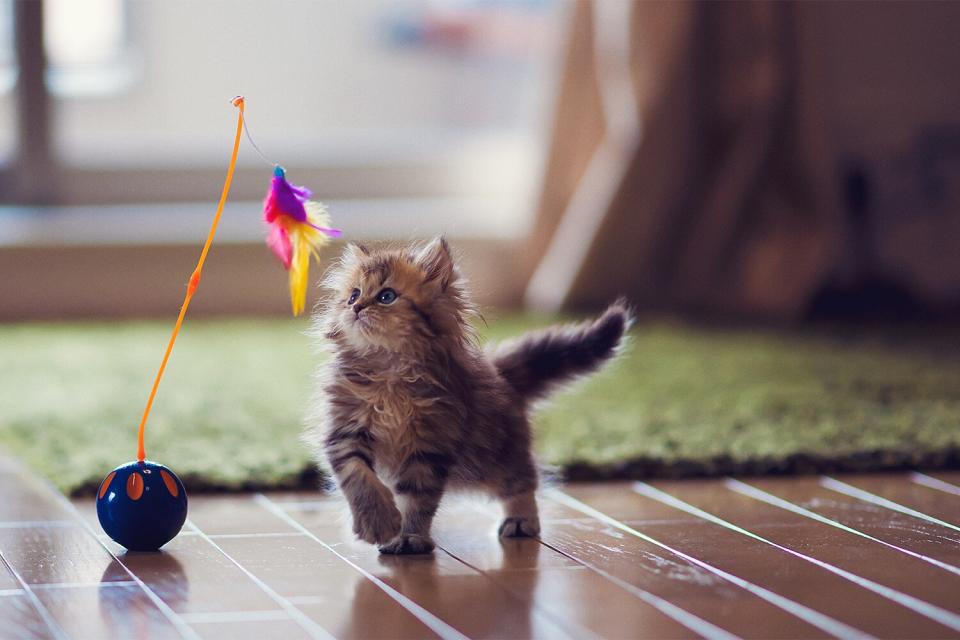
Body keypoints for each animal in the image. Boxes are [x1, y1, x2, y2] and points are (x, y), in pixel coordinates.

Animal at [306, 240, 632, 556]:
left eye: (386, 296)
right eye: (353, 295)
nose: (357, 308)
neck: (388, 373)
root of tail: (499, 372)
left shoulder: (430, 446)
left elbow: (417, 499)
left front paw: (410, 537)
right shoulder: (345, 431)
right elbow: (359, 478)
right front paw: (379, 523)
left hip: (496, 455)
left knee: (523, 481)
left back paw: (521, 520)